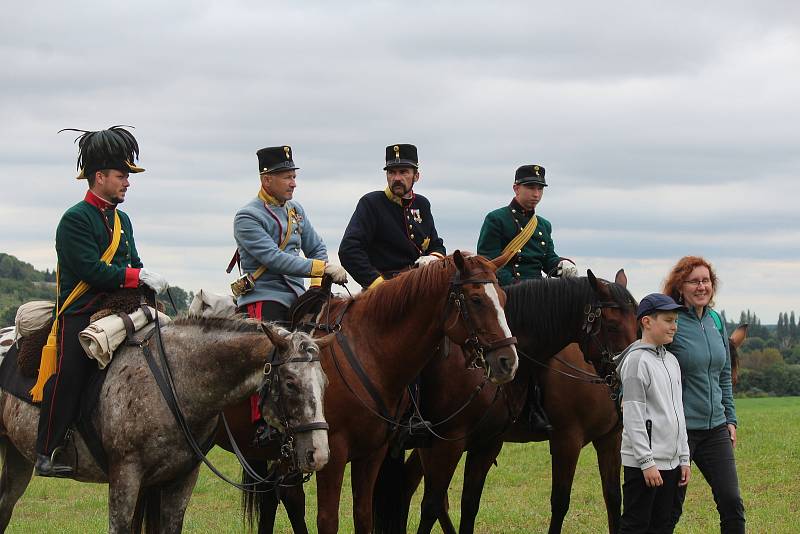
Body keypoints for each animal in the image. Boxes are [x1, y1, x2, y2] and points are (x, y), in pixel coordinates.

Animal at [0, 320, 332, 532]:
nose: (319, 454)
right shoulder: (125, 478)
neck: (177, 382)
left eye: (324, 382)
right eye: (290, 383)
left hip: (17, 458)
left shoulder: (179, 481)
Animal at [376, 272, 636, 534]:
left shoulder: (609, 439)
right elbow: (560, 502)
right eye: (612, 325)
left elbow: (613, 497)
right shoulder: (566, 440)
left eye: (638, 324)